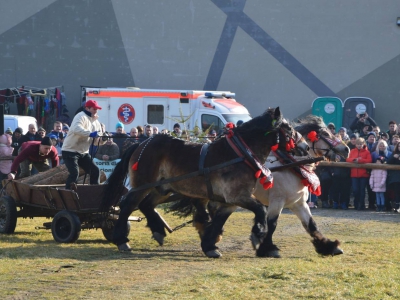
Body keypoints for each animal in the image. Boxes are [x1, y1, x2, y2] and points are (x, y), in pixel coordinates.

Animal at [101, 106, 308, 254]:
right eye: (289, 128)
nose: (305, 147)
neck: (240, 153)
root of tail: (141, 143)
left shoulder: (230, 201)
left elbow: (218, 221)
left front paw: (210, 245)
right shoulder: (237, 196)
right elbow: (261, 210)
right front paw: (258, 234)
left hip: (163, 188)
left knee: (146, 205)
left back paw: (158, 231)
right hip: (143, 184)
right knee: (127, 205)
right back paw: (122, 240)